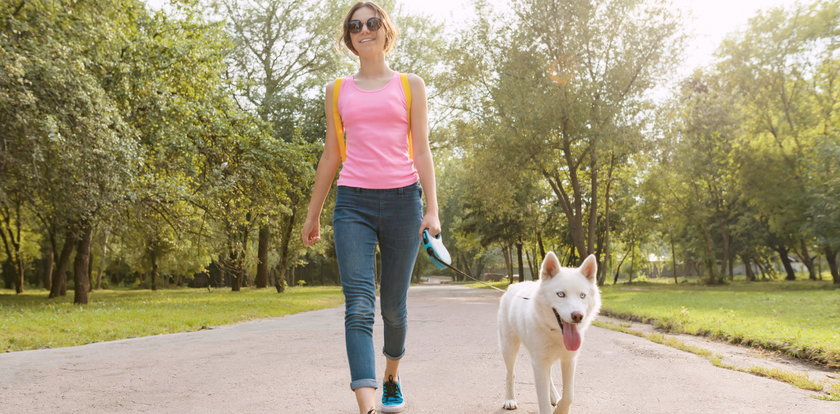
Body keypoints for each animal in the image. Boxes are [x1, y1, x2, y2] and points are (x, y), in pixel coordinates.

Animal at [498, 252, 596, 414]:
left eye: (582, 296)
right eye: (561, 294)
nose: (578, 316)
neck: (556, 333)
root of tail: (514, 285)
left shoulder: (569, 360)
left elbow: (569, 395)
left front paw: (560, 409)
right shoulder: (539, 362)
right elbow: (543, 401)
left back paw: (554, 396)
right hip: (509, 348)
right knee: (510, 373)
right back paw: (510, 400)